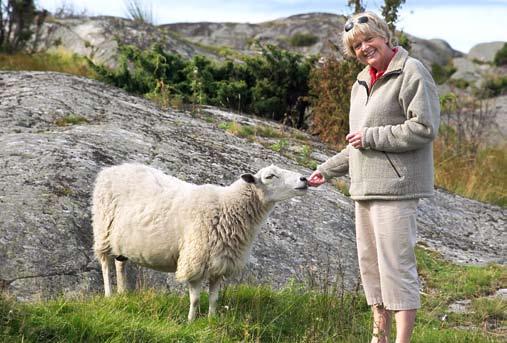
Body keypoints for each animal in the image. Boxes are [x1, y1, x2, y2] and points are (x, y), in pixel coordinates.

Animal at [91, 163, 308, 322]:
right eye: (270, 176)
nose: (305, 179)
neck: (227, 207)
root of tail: (110, 169)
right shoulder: (195, 260)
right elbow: (195, 299)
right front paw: (190, 322)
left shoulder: (220, 263)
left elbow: (214, 299)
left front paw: (211, 320)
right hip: (103, 230)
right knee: (105, 264)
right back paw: (110, 295)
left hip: (121, 240)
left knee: (120, 263)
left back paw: (123, 293)